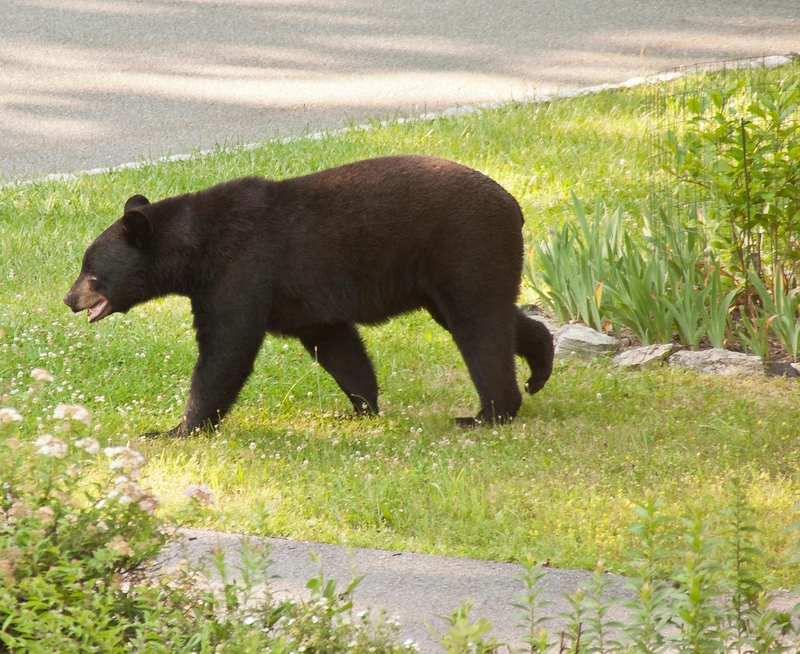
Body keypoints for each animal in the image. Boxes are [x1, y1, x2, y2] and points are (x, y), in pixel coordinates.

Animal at [64, 155, 552, 436]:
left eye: (92, 273)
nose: (69, 299)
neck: (197, 248)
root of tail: (514, 205)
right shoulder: (303, 300)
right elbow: (336, 343)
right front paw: (362, 407)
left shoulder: (241, 270)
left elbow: (226, 348)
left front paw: (176, 429)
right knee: (492, 315)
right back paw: (539, 367)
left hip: (465, 246)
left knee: (479, 325)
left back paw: (488, 413)